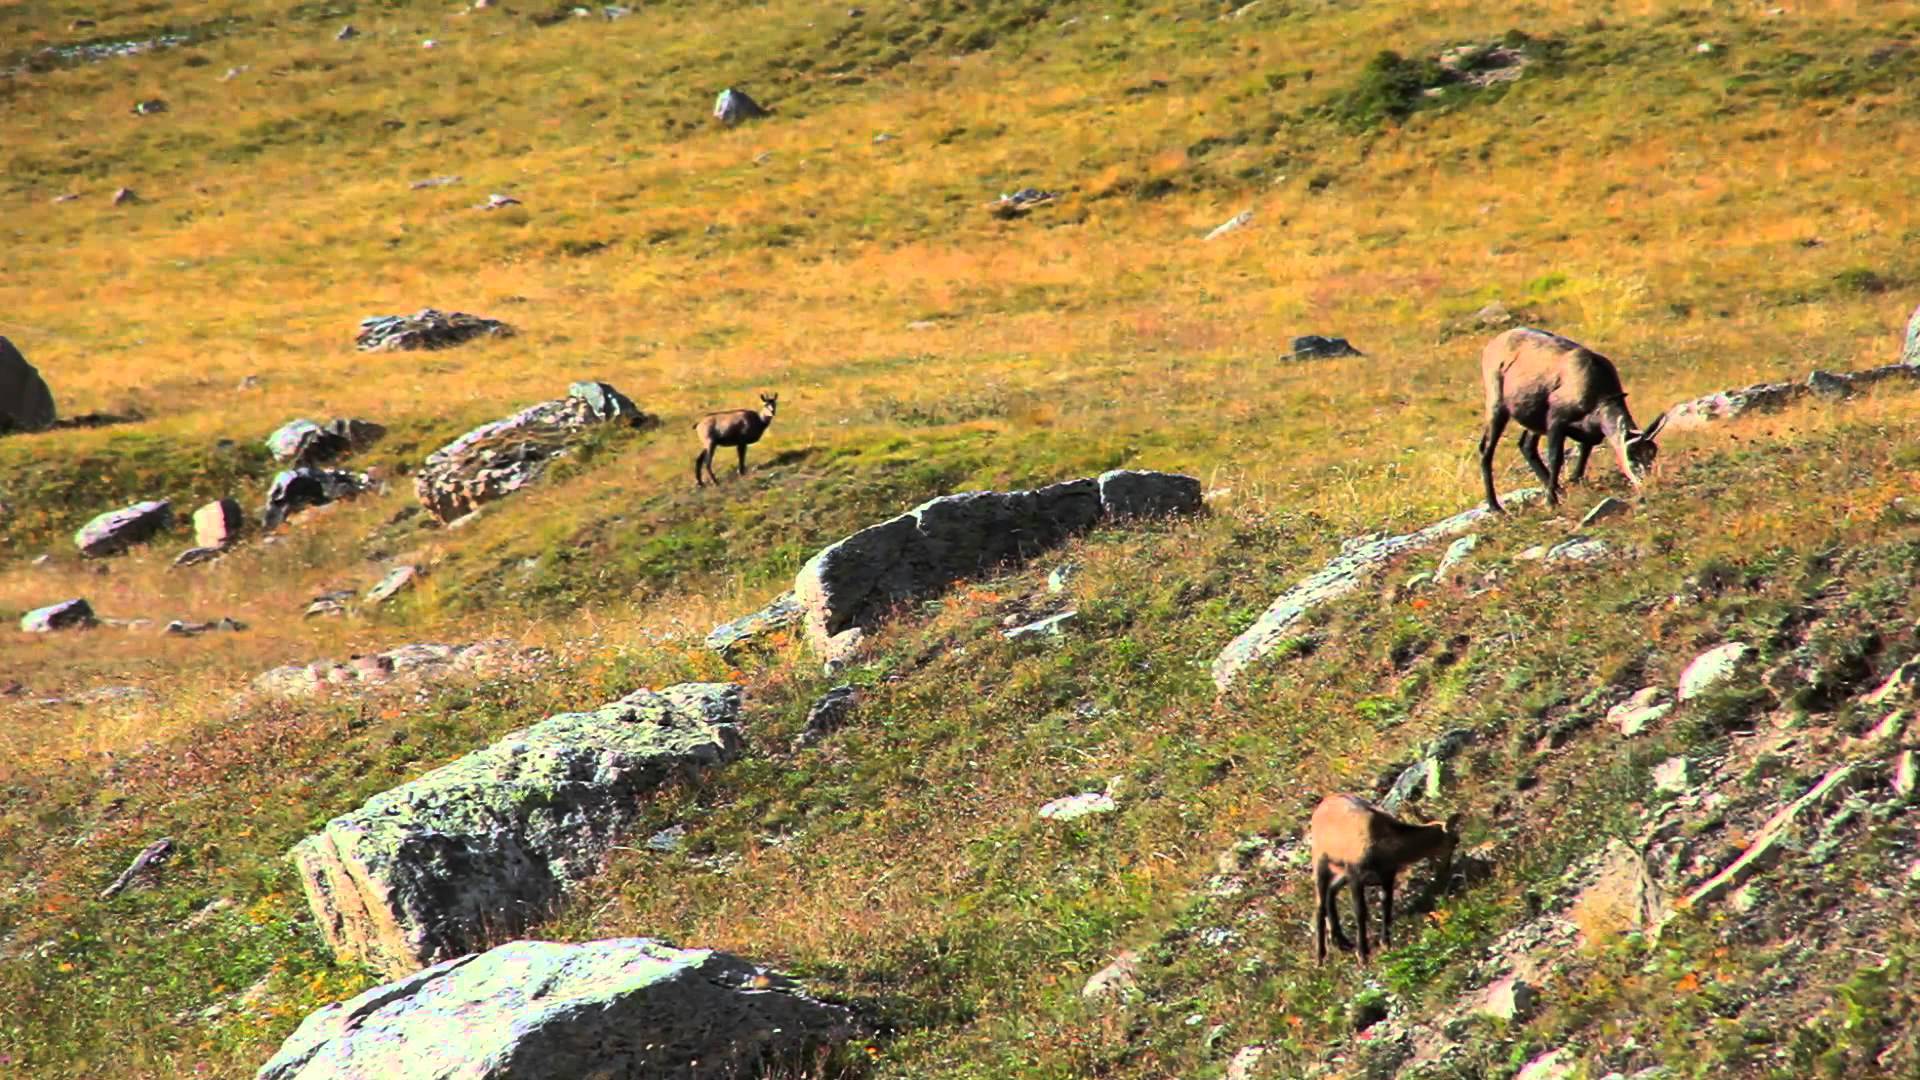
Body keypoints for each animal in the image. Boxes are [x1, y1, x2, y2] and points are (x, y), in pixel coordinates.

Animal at [1313, 791, 1459, 957]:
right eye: (1456, 841)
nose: (1446, 870)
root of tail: (1322, 804)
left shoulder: (1387, 875)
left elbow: (1387, 905)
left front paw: (1386, 944)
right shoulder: (1355, 873)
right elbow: (1360, 911)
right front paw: (1362, 953)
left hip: (1341, 871)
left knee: (1330, 892)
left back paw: (1340, 941)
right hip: (1320, 859)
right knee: (1320, 904)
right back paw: (1322, 953)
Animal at [1474, 326, 1674, 511]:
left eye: (1652, 454)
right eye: (1631, 456)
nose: (1647, 482)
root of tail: (1492, 344)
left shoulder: (1589, 432)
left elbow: (1584, 452)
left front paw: (1574, 482)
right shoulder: (1556, 420)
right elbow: (1556, 458)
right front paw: (1550, 501)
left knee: (1526, 446)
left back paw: (1556, 489)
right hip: (1497, 403)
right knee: (1486, 449)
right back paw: (1495, 506)